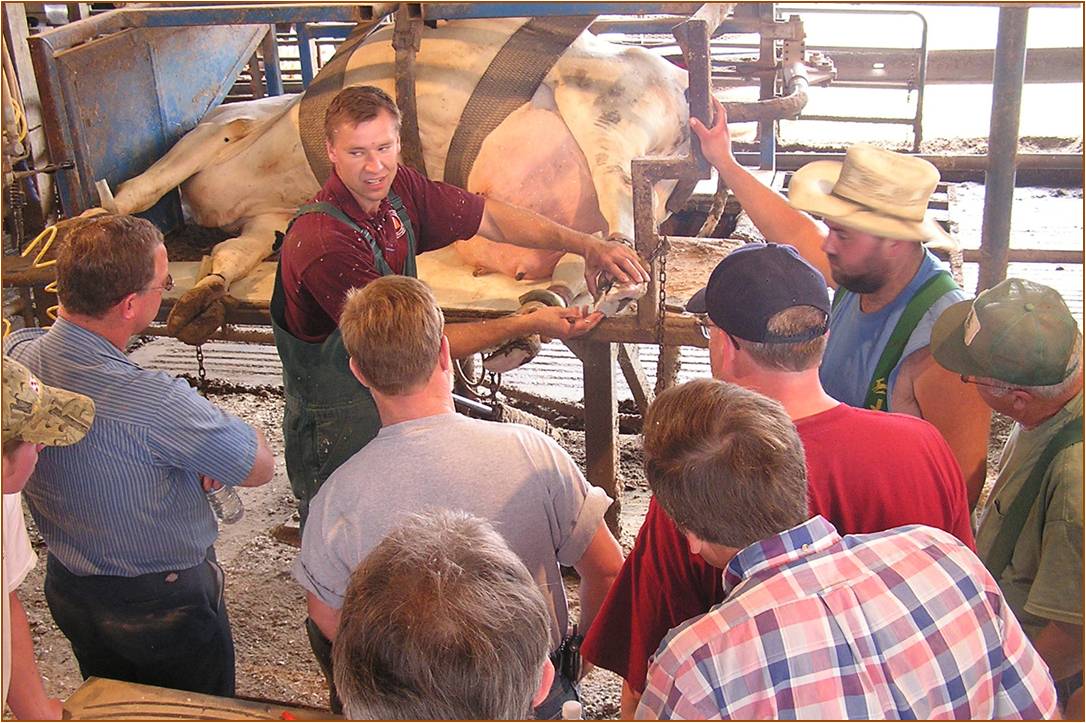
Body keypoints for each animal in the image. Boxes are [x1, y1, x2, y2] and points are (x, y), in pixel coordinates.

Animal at [76, 16, 703, 343]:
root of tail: (678, 82)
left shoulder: (225, 129)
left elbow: (149, 181)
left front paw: (88, 218)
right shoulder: (269, 219)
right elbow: (235, 253)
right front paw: (200, 295)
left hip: (605, 116)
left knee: (621, 218)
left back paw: (612, 282)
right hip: (631, 170)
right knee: (592, 248)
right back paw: (560, 298)